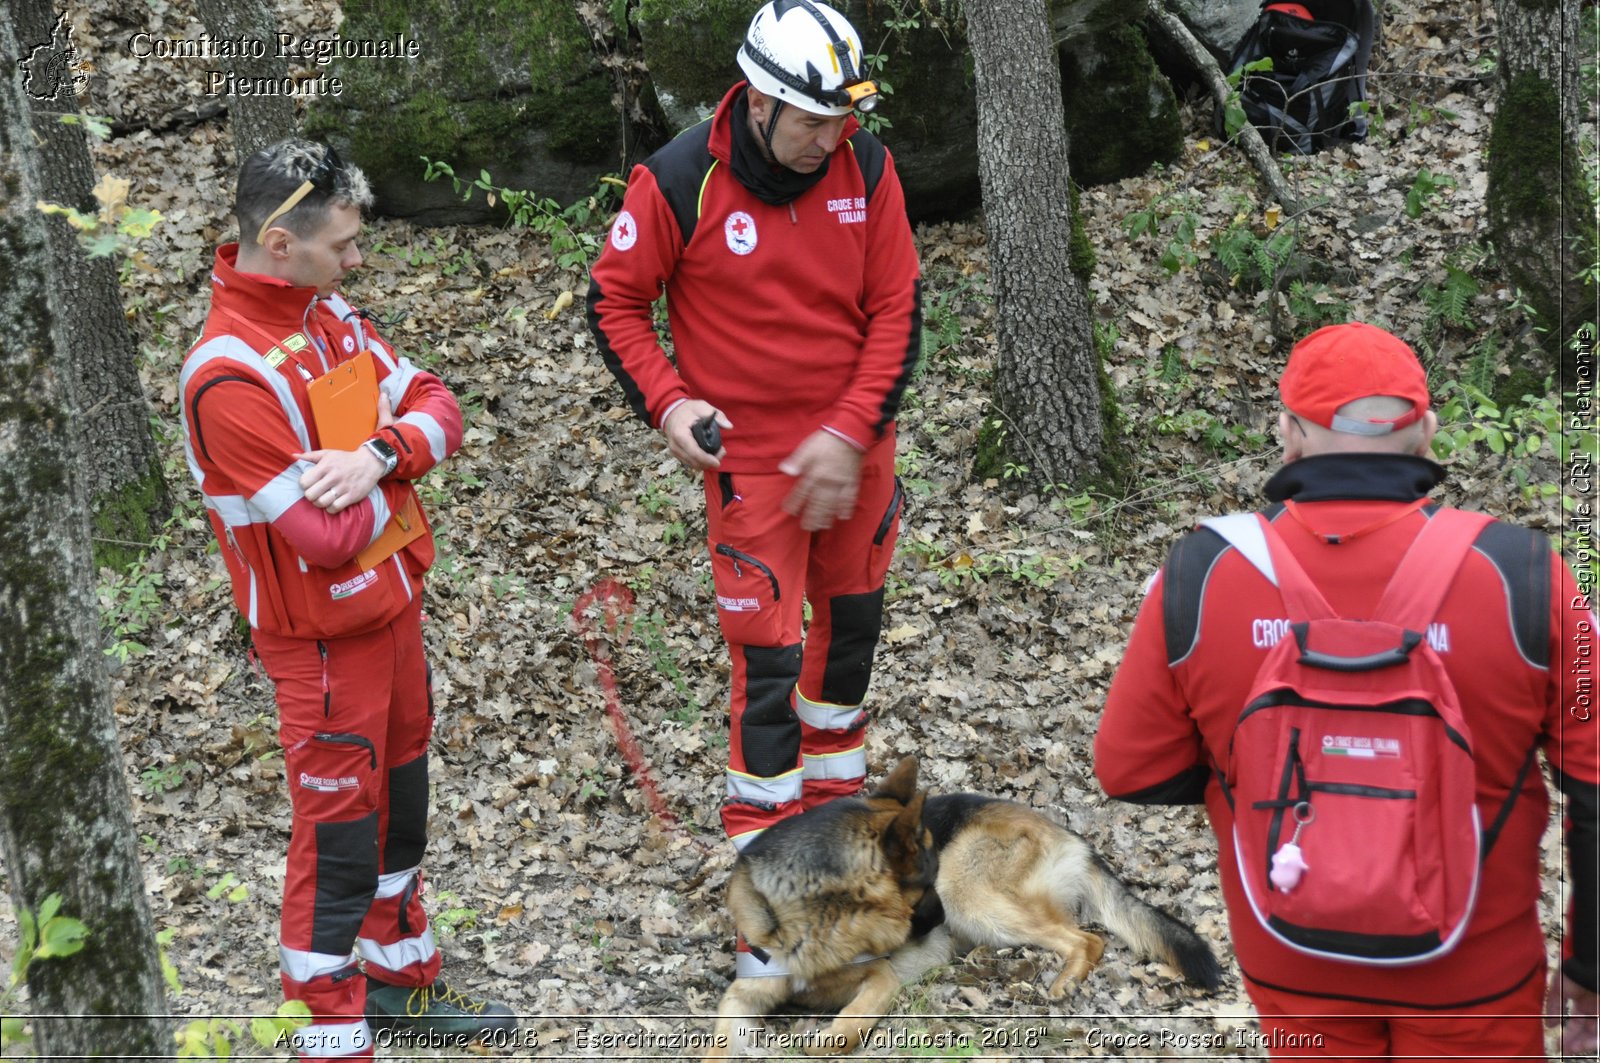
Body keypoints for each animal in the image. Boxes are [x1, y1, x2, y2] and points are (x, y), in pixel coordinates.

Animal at [704, 755, 1222, 1056]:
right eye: (920, 887)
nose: (933, 921)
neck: (816, 919)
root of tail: (1075, 839)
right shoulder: (742, 997)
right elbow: (718, 1045)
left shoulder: (880, 977)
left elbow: (840, 1031)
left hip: (967, 894)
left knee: (1087, 939)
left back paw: (1065, 981)